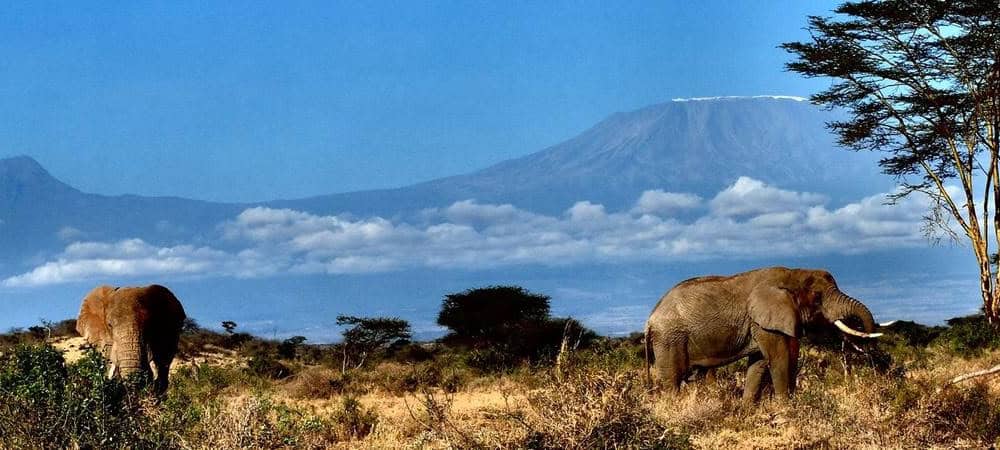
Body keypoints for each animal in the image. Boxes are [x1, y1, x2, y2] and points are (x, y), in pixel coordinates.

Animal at [644, 267, 891, 402]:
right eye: (817, 298)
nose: (869, 352)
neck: (793, 273)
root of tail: (650, 318)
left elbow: (761, 362)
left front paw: (747, 410)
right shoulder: (764, 322)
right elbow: (780, 359)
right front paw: (787, 408)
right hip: (669, 338)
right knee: (673, 379)